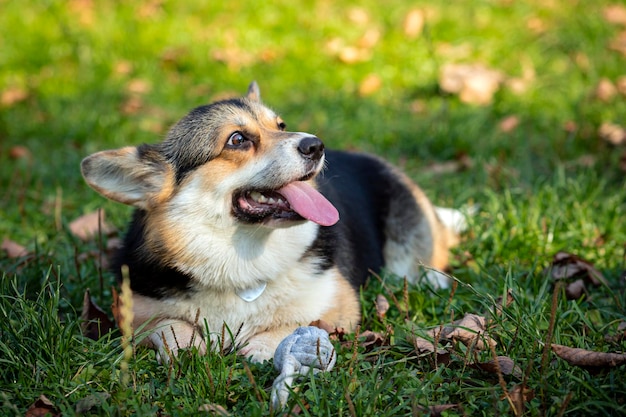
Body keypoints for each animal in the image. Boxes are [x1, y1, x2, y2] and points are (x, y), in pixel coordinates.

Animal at [80, 81, 460, 360]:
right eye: (237, 139)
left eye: (281, 126)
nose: (316, 145)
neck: (242, 259)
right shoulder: (133, 311)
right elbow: (169, 326)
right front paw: (189, 348)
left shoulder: (338, 307)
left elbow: (294, 324)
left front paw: (260, 347)